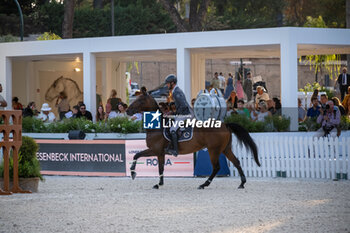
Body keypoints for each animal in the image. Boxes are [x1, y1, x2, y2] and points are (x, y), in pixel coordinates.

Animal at [126, 88, 260, 190]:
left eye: (140, 100)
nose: (127, 111)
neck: (157, 126)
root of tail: (225, 124)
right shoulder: (160, 153)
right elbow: (158, 167)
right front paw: (159, 184)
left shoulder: (155, 150)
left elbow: (138, 156)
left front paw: (133, 173)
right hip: (225, 149)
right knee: (236, 162)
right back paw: (242, 183)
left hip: (213, 150)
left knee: (216, 167)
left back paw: (204, 184)